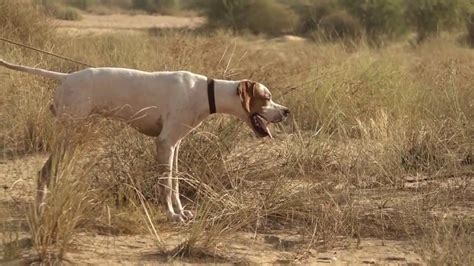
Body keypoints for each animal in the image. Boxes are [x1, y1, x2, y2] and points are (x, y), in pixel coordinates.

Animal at [0, 59, 290, 222]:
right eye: (266, 97)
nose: (286, 111)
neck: (205, 93)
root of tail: (67, 76)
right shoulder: (164, 144)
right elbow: (166, 186)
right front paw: (172, 215)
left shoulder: (174, 146)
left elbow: (174, 182)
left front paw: (181, 212)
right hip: (69, 134)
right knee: (43, 171)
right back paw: (41, 210)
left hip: (72, 137)